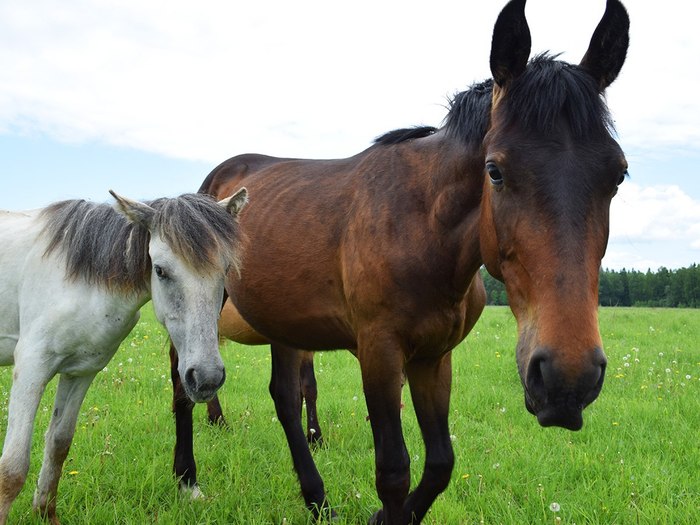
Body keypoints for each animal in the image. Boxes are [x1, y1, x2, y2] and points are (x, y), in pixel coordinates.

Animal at [0, 186, 249, 520]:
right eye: (160, 270)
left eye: (225, 270)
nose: (206, 378)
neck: (78, 281)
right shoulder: (31, 369)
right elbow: (12, 469)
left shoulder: (80, 372)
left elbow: (58, 444)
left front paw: (45, 514)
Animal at [168, 0, 628, 520]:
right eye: (494, 171)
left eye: (618, 174)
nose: (567, 379)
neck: (423, 230)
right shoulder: (380, 353)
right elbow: (393, 471)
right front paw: (385, 510)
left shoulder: (433, 358)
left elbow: (440, 463)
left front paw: (386, 515)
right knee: (183, 385)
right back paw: (187, 478)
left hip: (284, 324)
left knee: (285, 399)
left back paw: (317, 499)